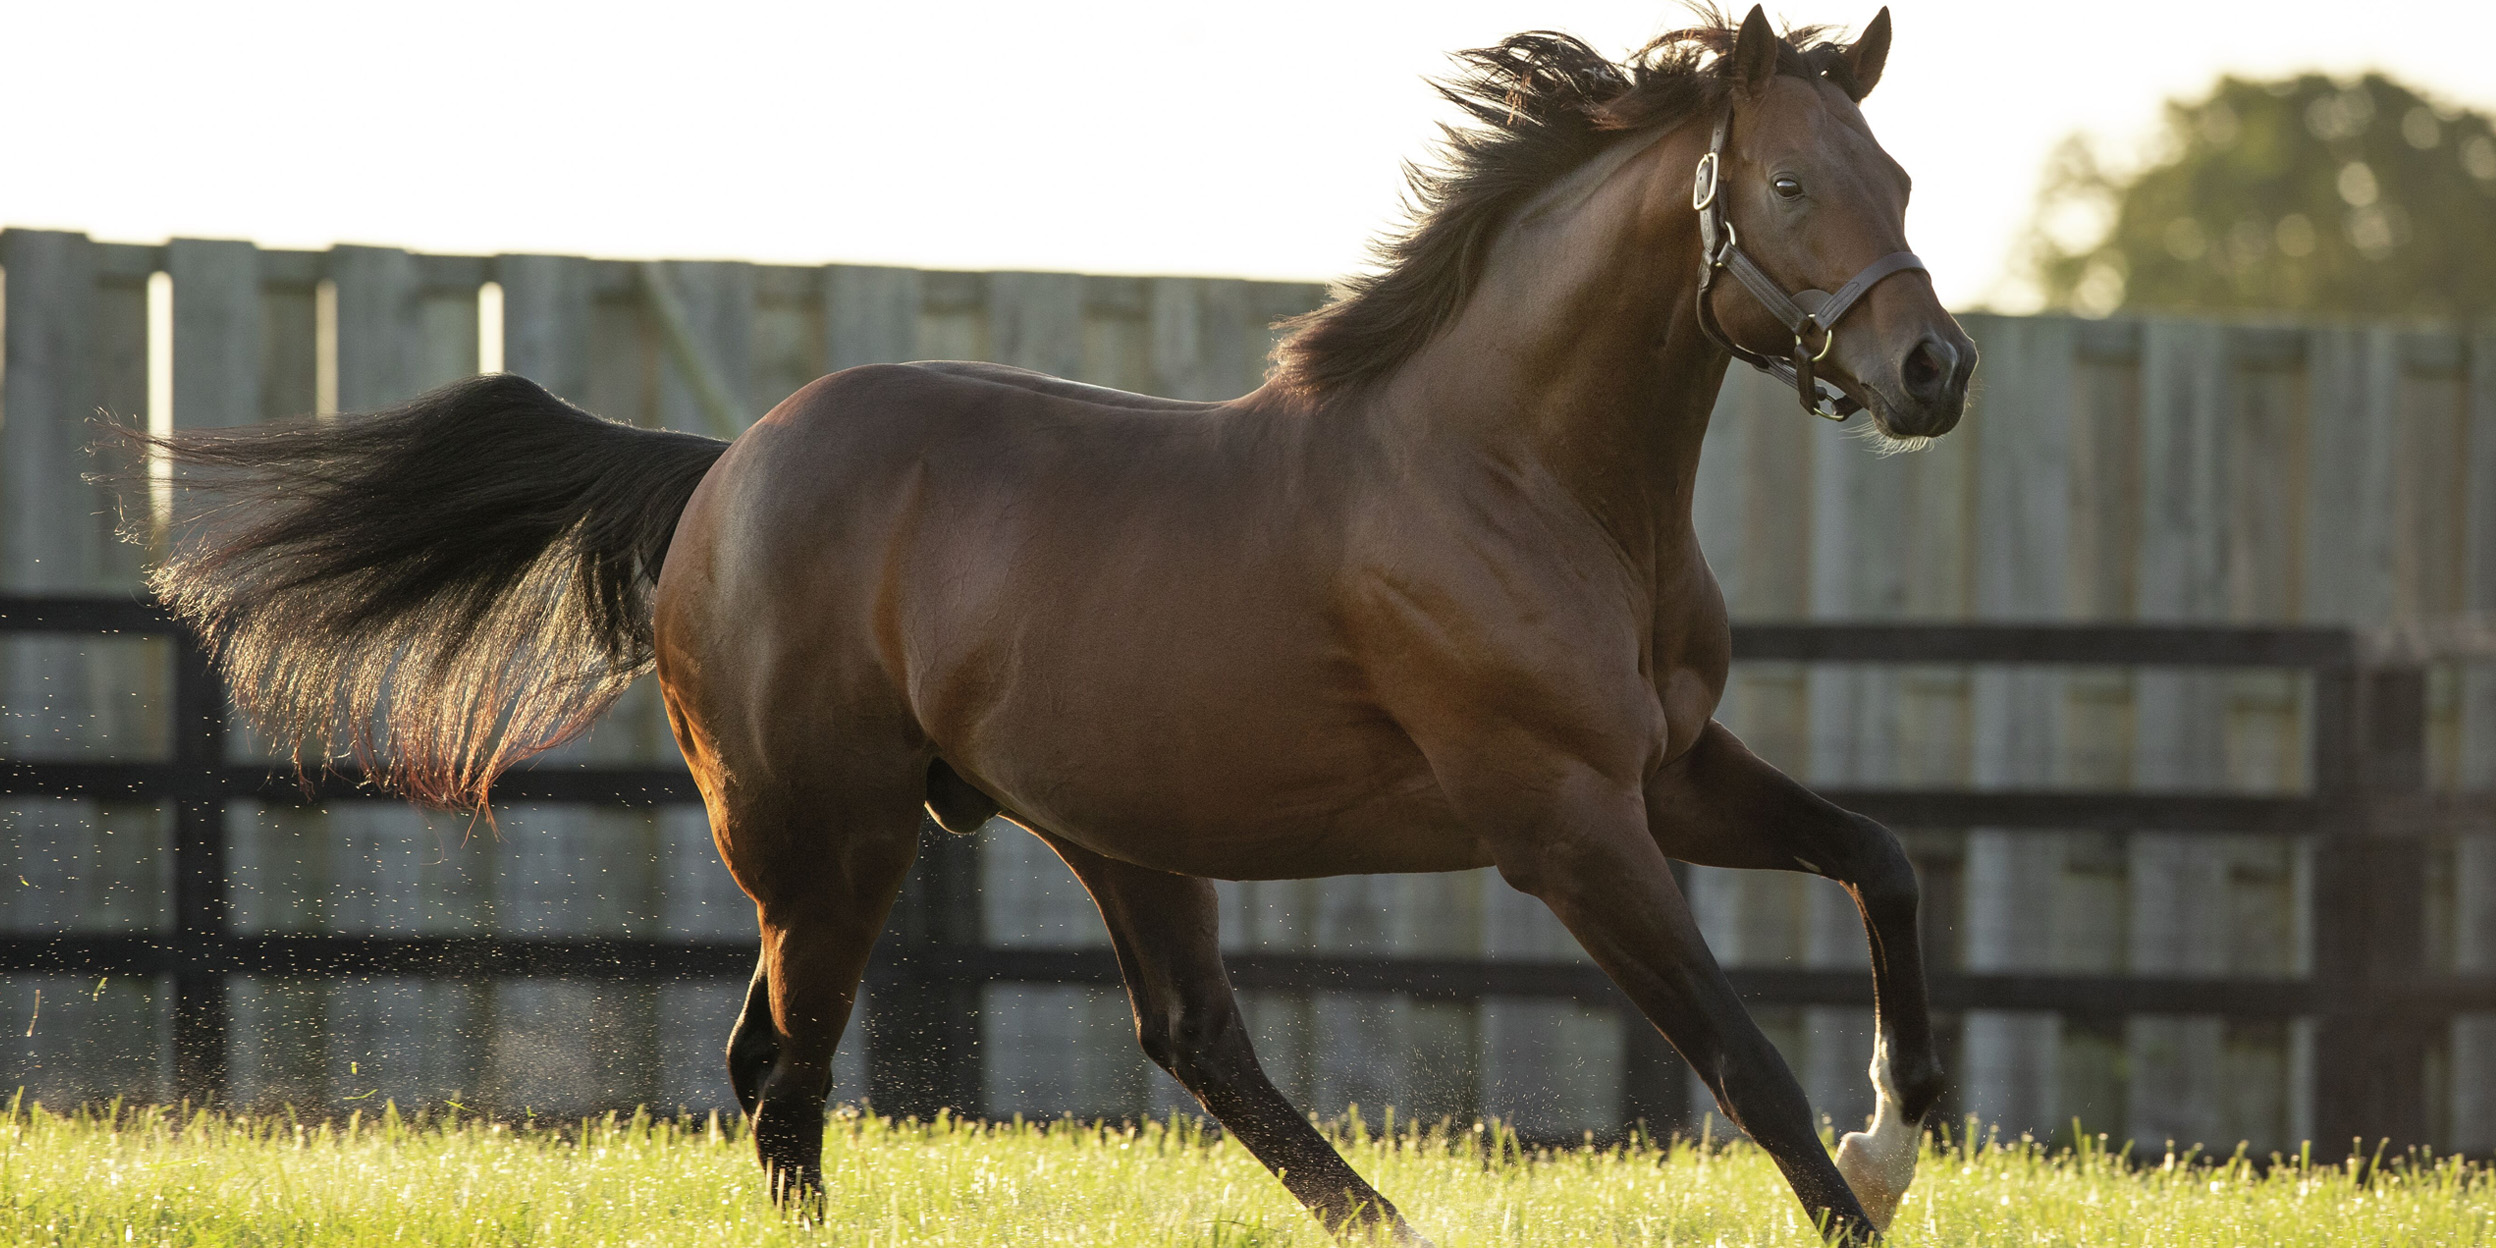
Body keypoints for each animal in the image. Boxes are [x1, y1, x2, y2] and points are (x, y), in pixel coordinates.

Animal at [121, 4, 1966, 1243]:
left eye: (1898, 174)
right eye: (1787, 183)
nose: (1932, 371)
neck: (1521, 475)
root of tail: (726, 471)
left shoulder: (1669, 771)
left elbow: (1881, 859)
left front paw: (1900, 1135)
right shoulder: (1563, 820)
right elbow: (1739, 1053)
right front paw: (1861, 1185)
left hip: (1097, 826)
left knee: (1156, 1037)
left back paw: (1382, 1217)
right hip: (834, 833)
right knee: (788, 1068)